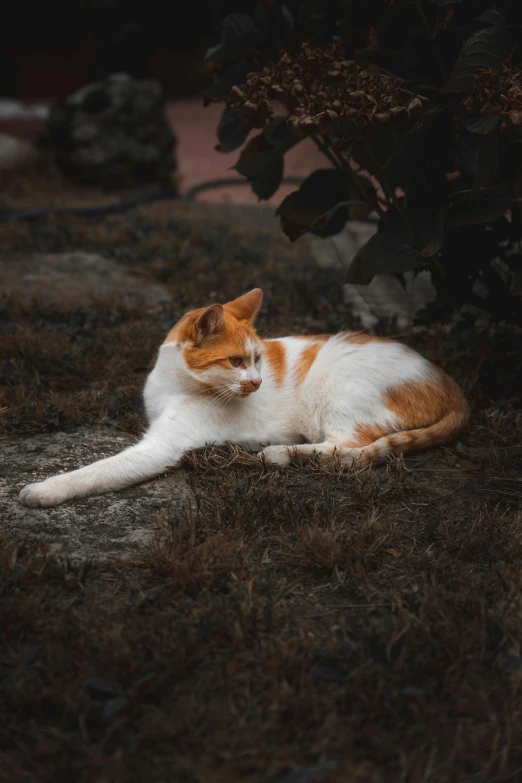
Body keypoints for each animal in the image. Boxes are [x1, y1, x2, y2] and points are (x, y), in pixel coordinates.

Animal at [19, 288, 468, 508]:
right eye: (237, 360)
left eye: (257, 359)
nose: (257, 383)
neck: (174, 384)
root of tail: (451, 382)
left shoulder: (161, 446)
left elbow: (96, 471)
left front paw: (45, 490)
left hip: (340, 384)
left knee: (348, 451)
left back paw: (279, 453)